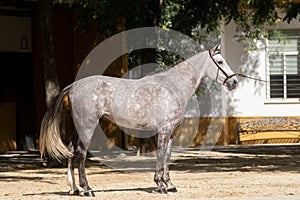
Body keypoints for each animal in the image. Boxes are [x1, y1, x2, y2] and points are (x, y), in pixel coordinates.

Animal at [39, 44, 238, 197]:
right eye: (220, 62)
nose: (234, 82)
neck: (173, 86)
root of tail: (74, 86)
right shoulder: (164, 129)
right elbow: (160, 155)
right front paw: (160, 185)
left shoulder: (172, 132)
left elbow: (167, 156)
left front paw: (170, 184)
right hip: (87, 126)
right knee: (80, 154)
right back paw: (87, 189)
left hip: (77, 127)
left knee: (71, 151)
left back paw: (73, 189)